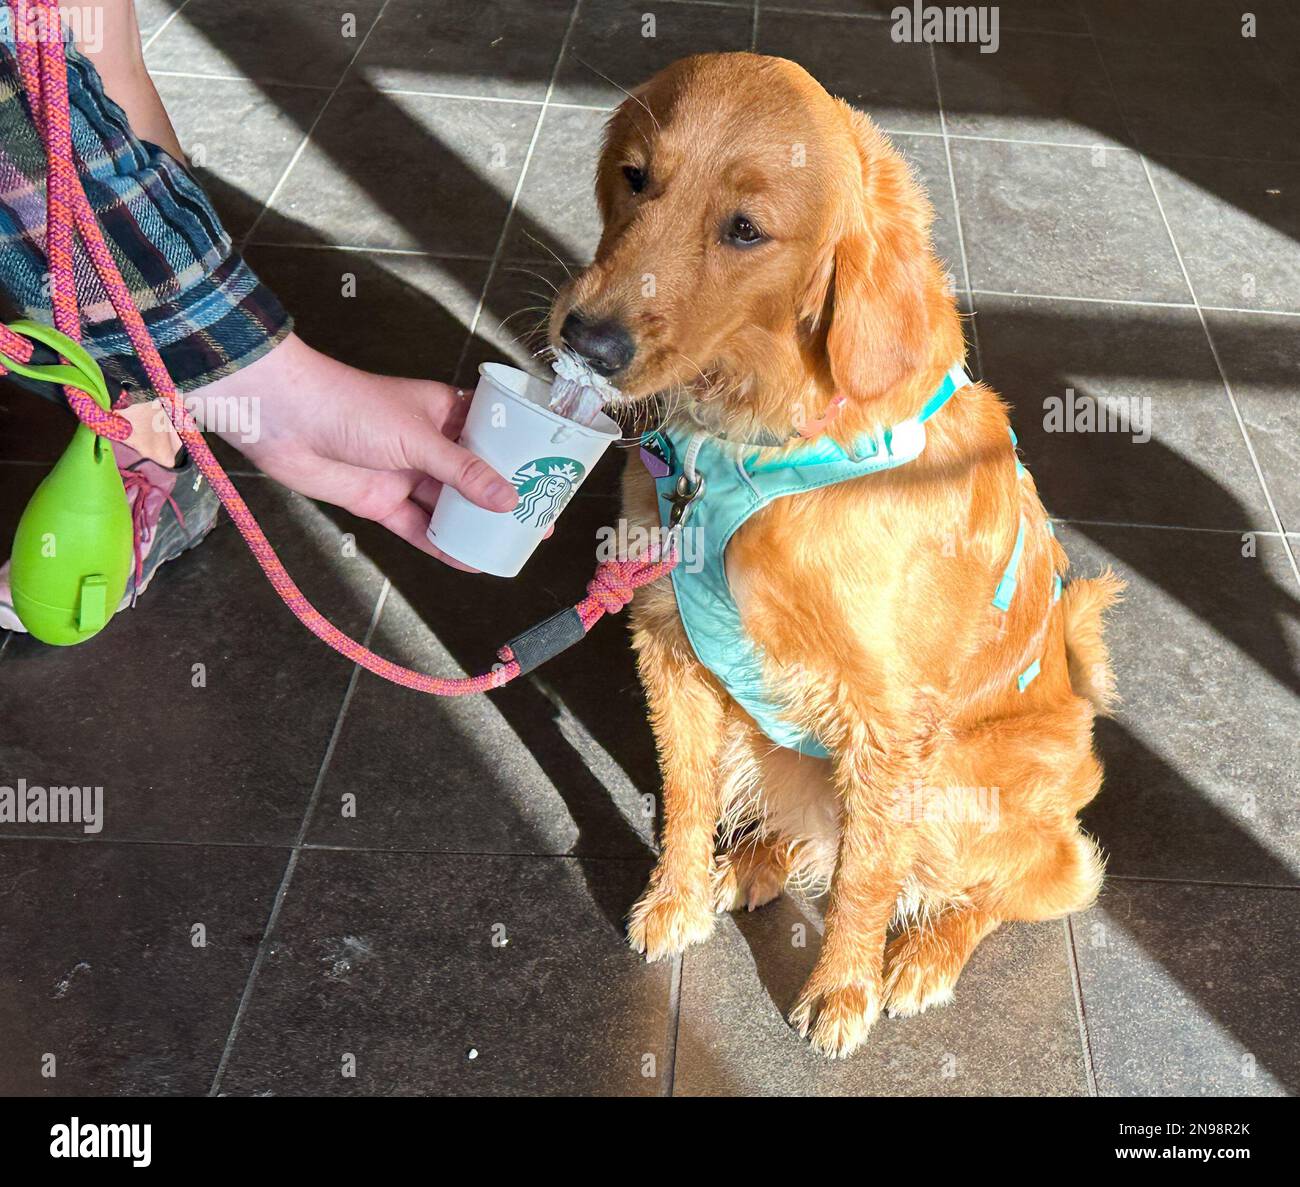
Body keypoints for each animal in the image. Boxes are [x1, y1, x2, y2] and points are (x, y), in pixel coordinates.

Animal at [546, 53, 1118, 1055]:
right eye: (635, 176)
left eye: (746, 229)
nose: (587, 341)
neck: (748, 440)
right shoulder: (668, 644)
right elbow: (685, 798)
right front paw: (677, 896)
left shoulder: (890, 722)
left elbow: (867, 874)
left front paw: (844, 985)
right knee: (810, 830)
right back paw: (749, 865)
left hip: (975, 783)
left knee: (1031, 881)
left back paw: (923, 954)